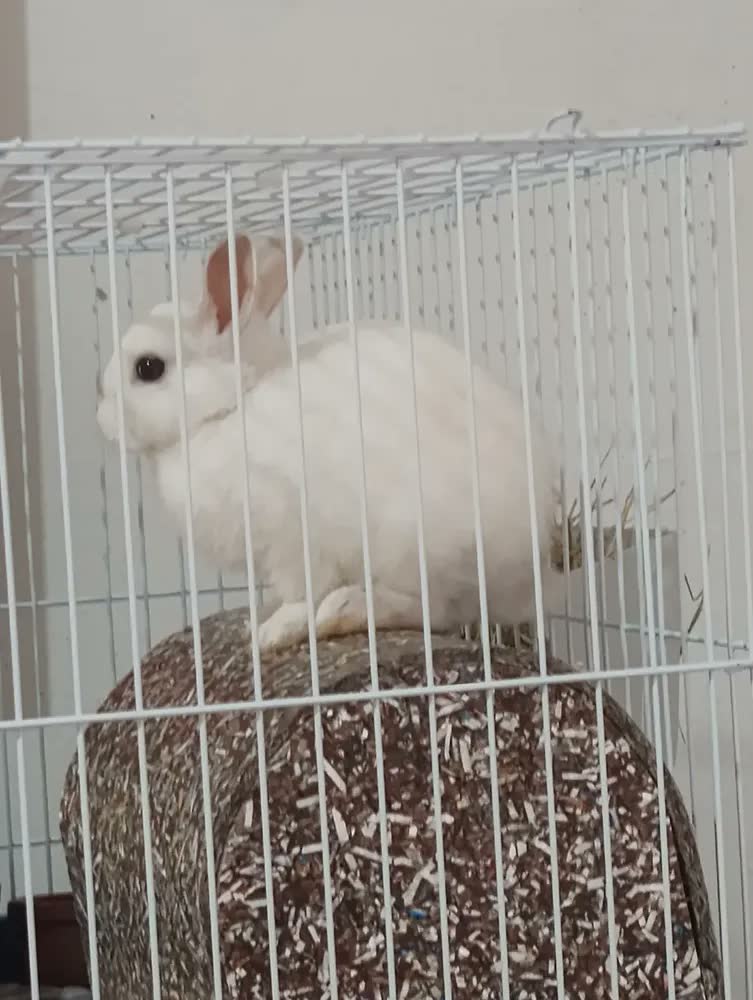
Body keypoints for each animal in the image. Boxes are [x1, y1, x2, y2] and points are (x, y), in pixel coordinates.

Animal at [97, 234, 561, 652]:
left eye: (148, 367)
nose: (101, 417)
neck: (229, 407)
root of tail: (530, 571)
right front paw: (257, 620)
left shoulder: (288, 533)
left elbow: (301, 591)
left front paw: (273, 633)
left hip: (415, 544)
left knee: (434, 609)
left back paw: (344, 610)